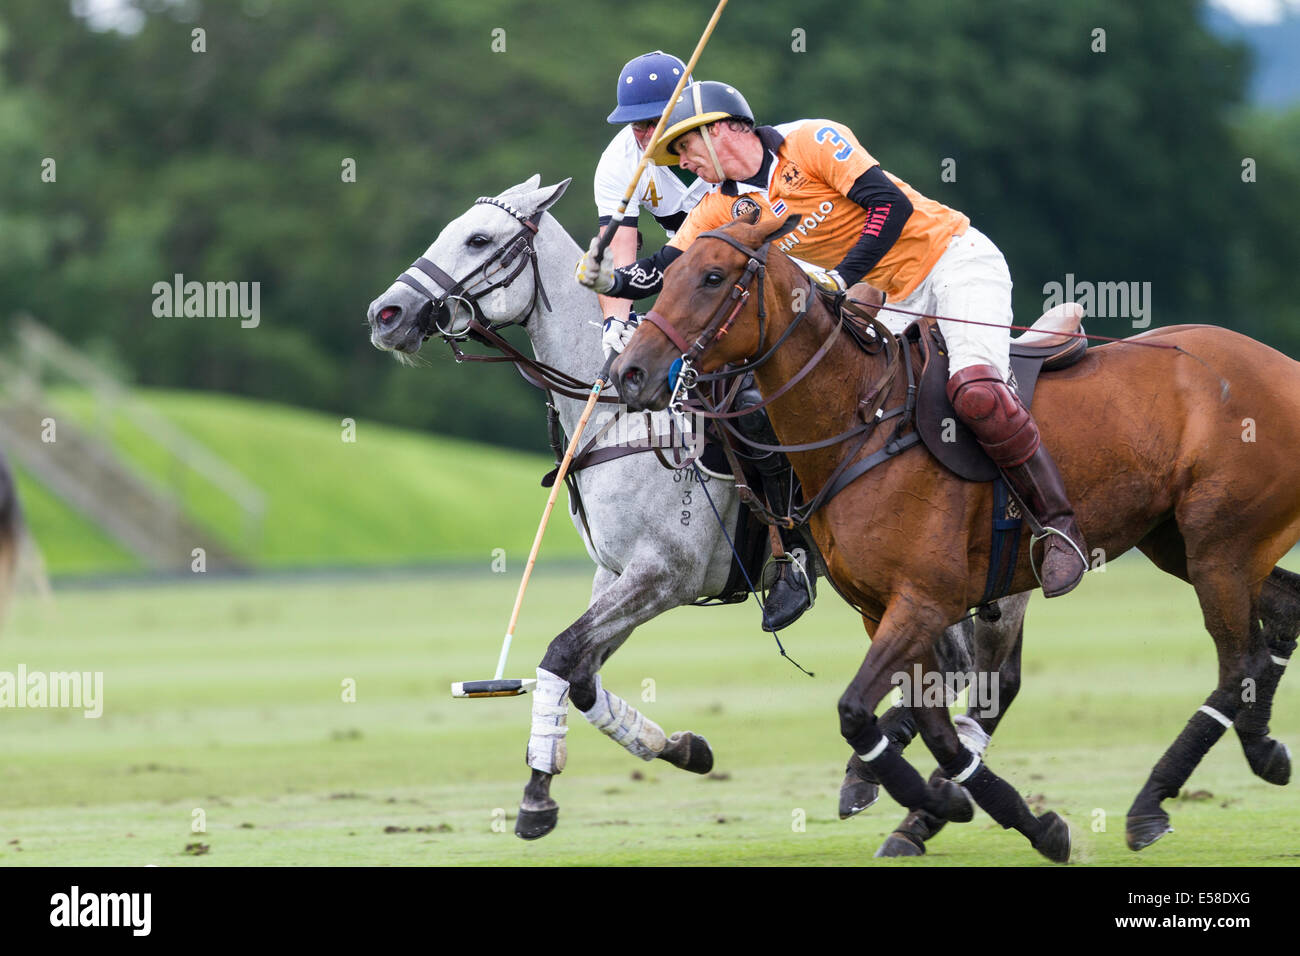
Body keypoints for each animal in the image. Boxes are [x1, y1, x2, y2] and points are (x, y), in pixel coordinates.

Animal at [364, 174, 1024, 853]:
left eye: (478, 238)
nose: (385, 315)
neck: (618, 413)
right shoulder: (617, 573)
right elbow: (582, 674)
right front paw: (683, 748)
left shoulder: (666, 573)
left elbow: (559, 654)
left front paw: (536, 799)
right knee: (957, 672)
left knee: (981, 677)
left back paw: (897, 787)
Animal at [613, 218, 1300, 868]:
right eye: (668, 274)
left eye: (713, 277)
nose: (629, 373)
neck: (860, 422)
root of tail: (1284, 366)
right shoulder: (881, 610)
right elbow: (935, 727)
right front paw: (1011, 819)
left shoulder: (924, 600)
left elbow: (857, 710)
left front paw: (932, 804)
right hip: (1182, 542)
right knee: (1279, 617)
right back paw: (1263, 750)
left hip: (1218, 545)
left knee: (1237, 663)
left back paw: (1150, 804)